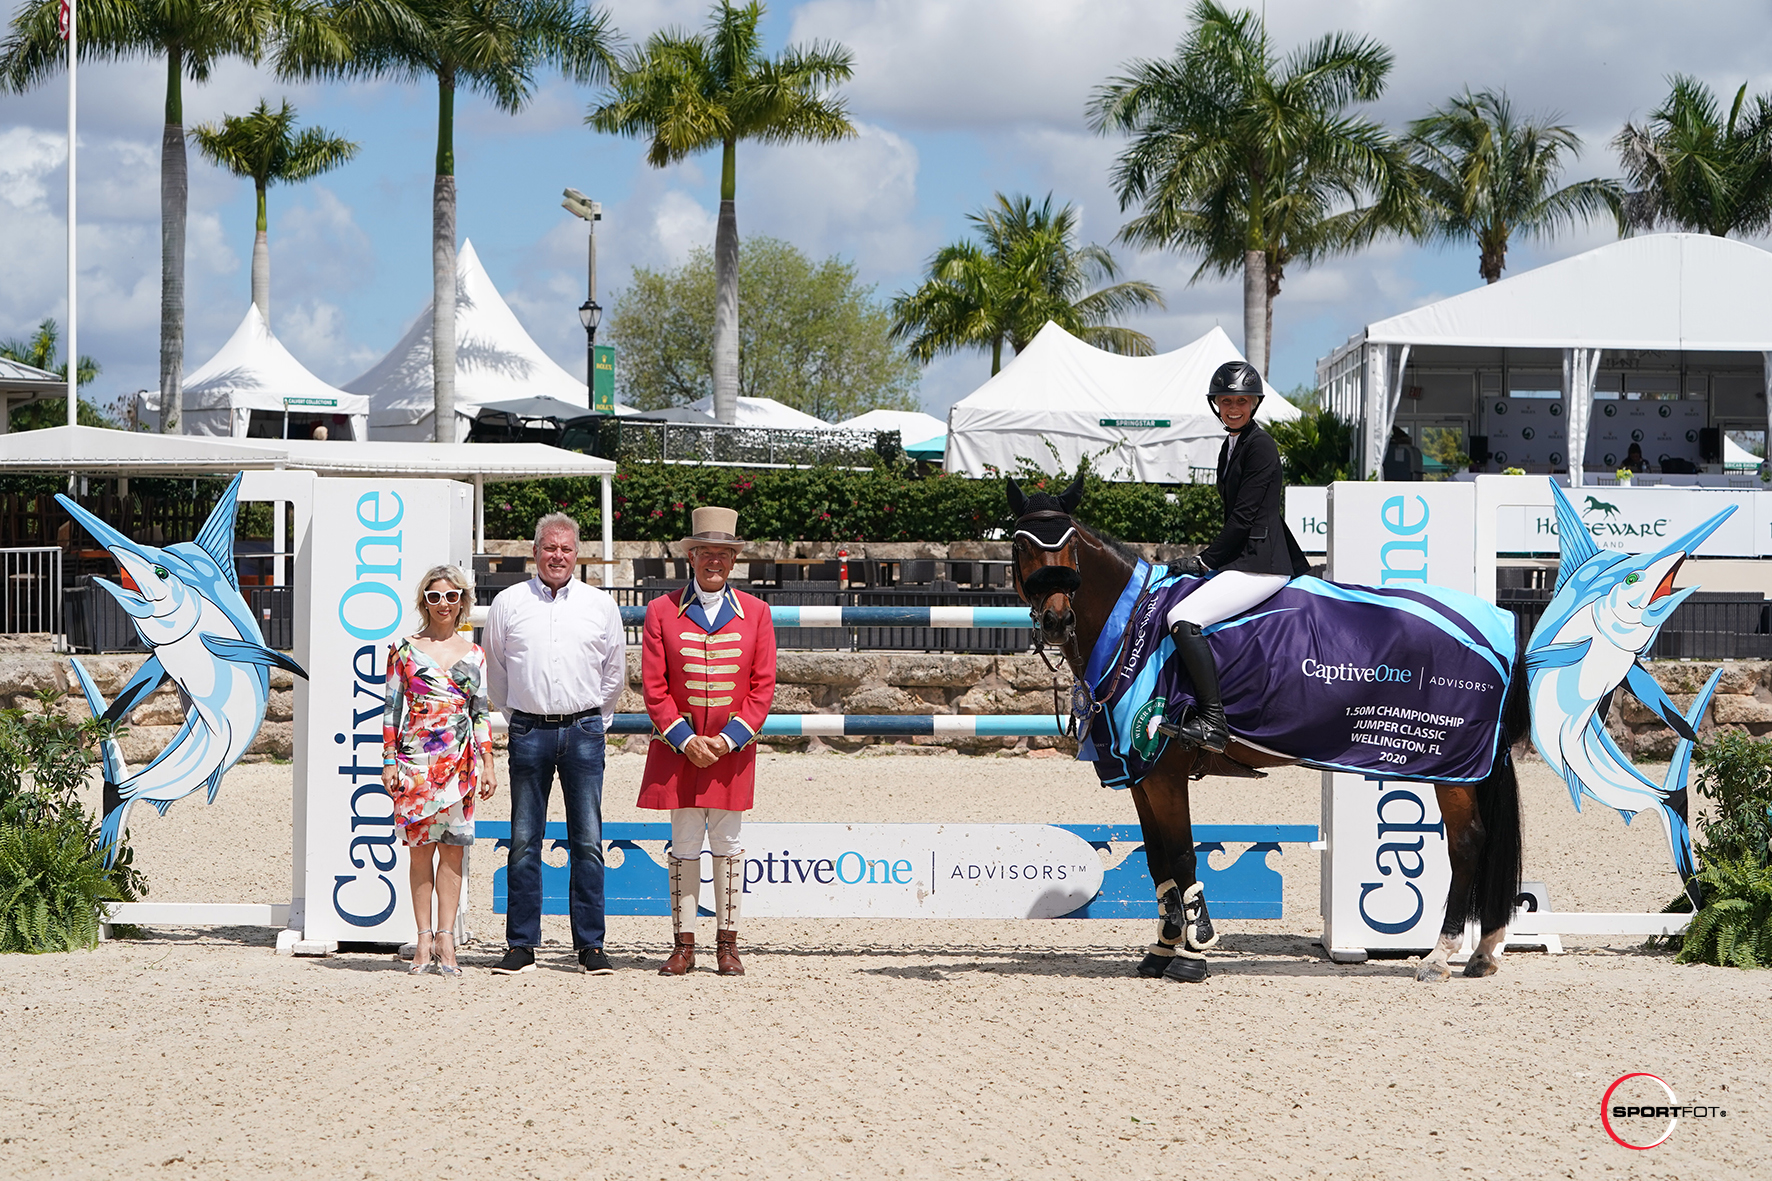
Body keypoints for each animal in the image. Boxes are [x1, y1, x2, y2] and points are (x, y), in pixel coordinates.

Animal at [1006, 475, 1531, 978]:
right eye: (1021, 546)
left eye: (1071, 544)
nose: (1057, 621)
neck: (1135, 626)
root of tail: (1500, 625)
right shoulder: (1142, 774)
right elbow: (1157, 859)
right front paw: (1162, 947)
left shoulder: (1166, 771)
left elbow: (1182, 853)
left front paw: (1192, 953)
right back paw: (1483, 951)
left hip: (1449, 763)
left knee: (1467, 843)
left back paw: (1441, 956)